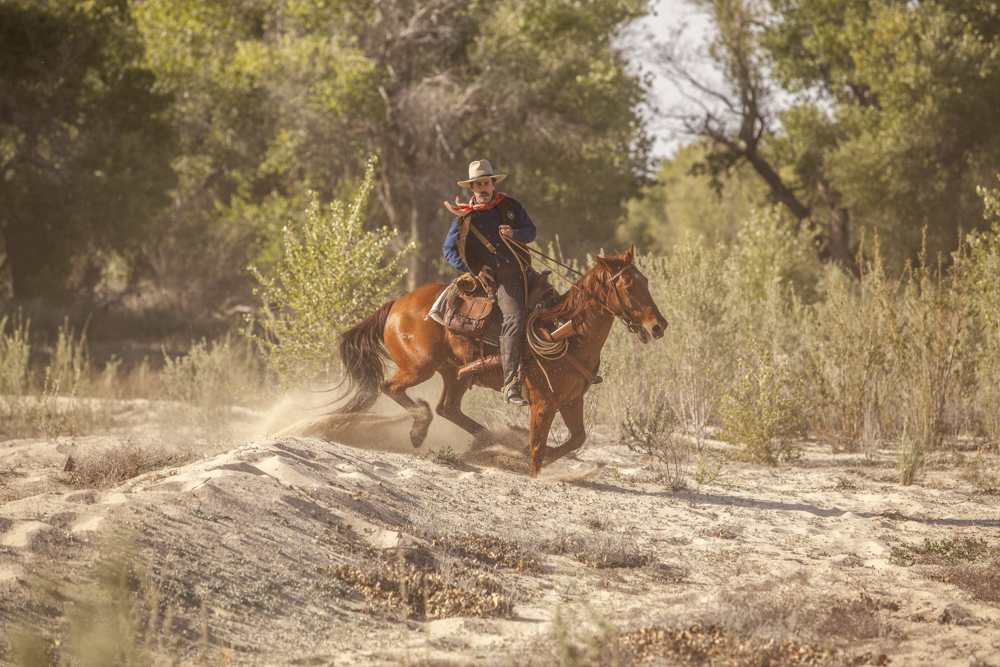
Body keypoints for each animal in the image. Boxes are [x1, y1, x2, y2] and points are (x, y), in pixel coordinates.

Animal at [332, 248, 668, 478]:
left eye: (646, 281)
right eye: (628, 287)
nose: (658, 326)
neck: (569, 329)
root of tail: (395, 304)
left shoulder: (572, 401)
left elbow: (576, 439)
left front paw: (522, 454)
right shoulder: (543, 402)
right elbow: (538, 448)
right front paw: (532, 470)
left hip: (453, 372)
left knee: (447, 408)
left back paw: (488, 441)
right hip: (419, 368)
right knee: (391, 388)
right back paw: (419, 430)